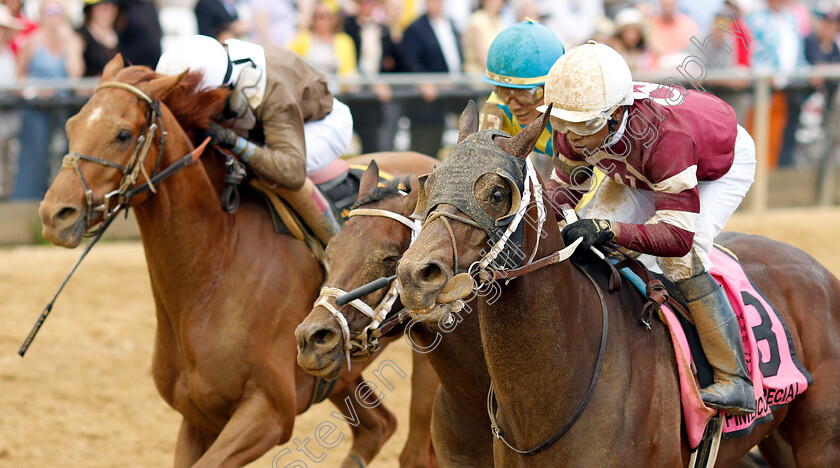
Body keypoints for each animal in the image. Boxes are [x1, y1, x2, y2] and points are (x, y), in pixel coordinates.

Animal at [35, 55, 436, 468]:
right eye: (71, 125)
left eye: (123, 135)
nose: (55, 214)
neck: (213, 271)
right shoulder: (198, 418)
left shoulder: (267, 413)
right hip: (331, 368)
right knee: (378, 427)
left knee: (416, 451)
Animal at [394, 104, 840, 466]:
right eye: (429, 182)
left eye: (498, 192)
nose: (415, 275)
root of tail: (819, 270)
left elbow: (677, 235)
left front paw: (591, 230)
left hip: (820, 444)